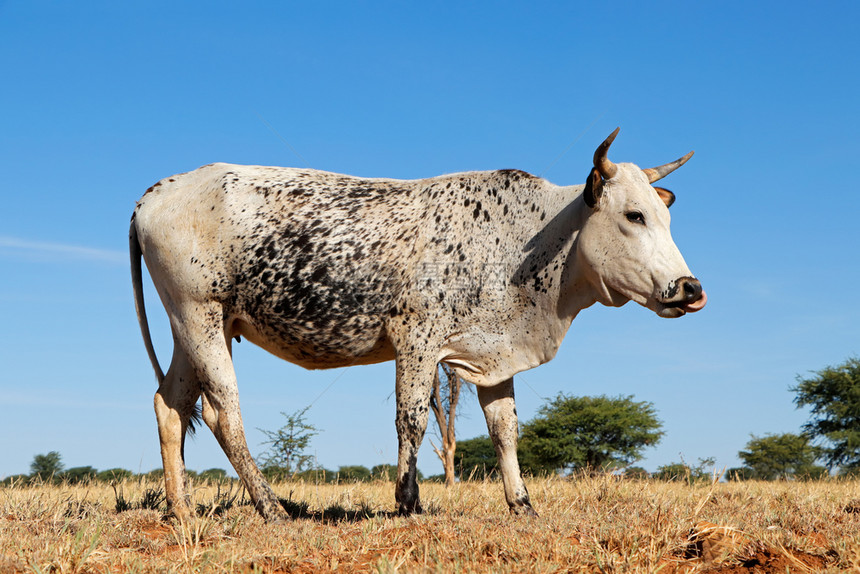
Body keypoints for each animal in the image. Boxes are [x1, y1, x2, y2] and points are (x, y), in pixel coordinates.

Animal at [129, 129, 704, 520]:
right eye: (634, 216)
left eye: (665, 216)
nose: (689, 288)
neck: (531, 240)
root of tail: (158, 191)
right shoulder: (417, 342)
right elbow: (411, 422)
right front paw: (408, 502)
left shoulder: (492, 355)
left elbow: (505, 431)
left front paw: (522, 504)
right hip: (199, 316)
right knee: (224, 412)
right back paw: (271, 507)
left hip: (197, 326)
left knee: (170, 404)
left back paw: (180, 510)